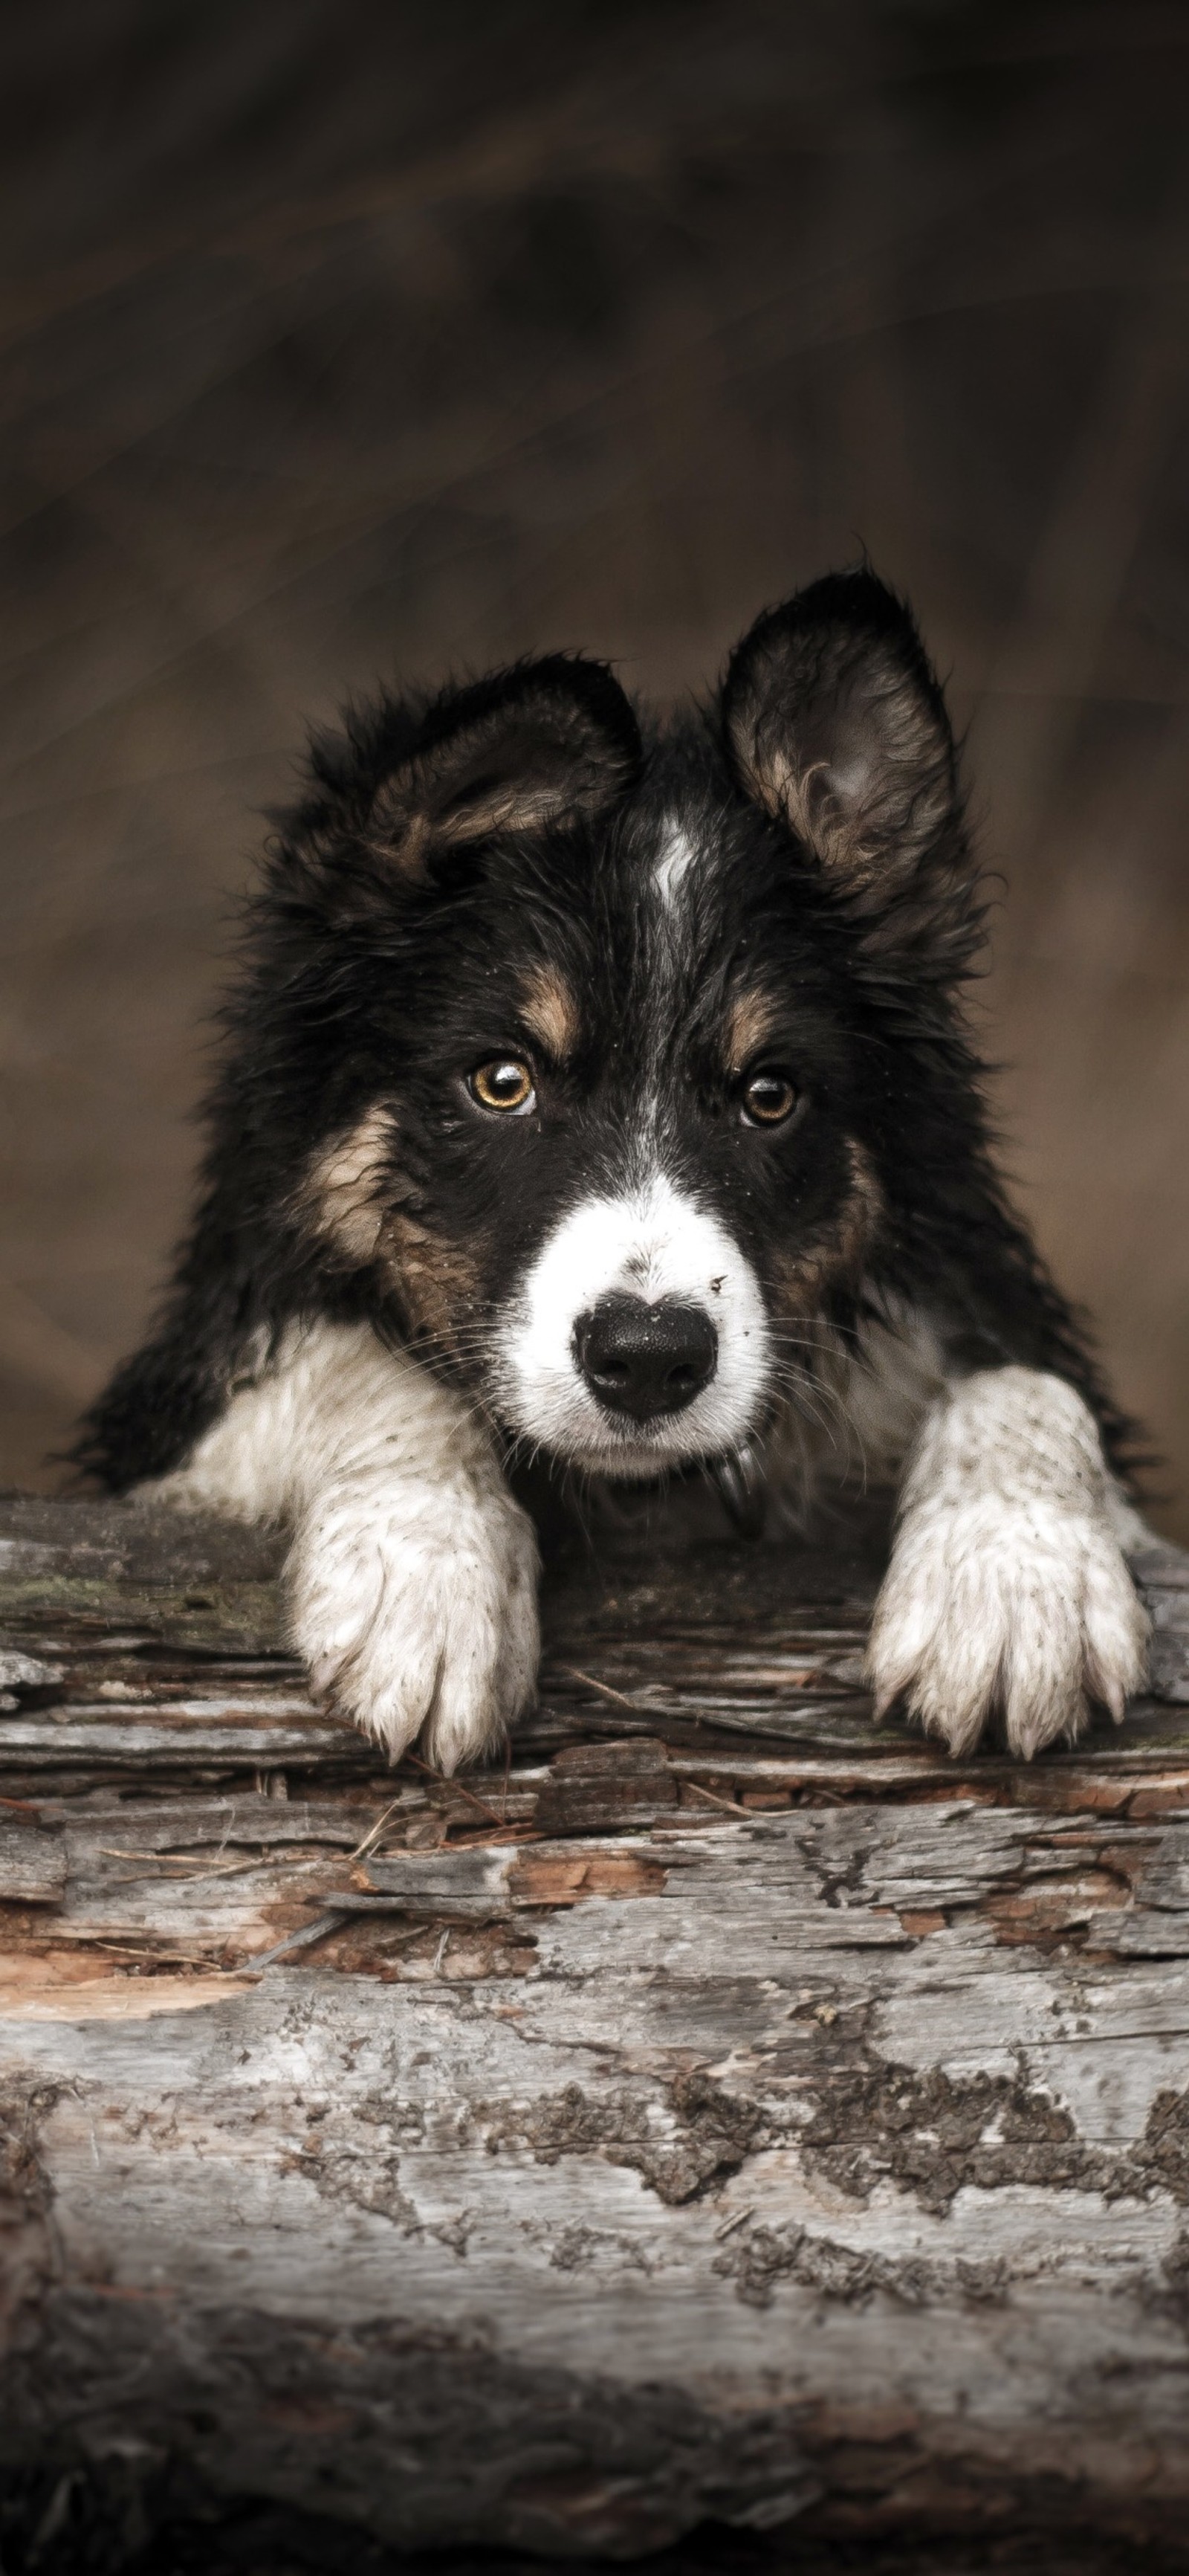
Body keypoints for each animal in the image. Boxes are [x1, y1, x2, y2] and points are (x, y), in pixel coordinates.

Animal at [74, 564, 1153, 1772]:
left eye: (769, 1096)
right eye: (503, 1081)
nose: (647, 1360)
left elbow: (1024, 1379)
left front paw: (1018, 1585)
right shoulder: (163, 1414)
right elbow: (362, 1363)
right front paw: (426, 1576)